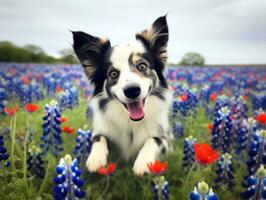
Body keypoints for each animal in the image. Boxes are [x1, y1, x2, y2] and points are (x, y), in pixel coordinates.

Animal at [72, 15, 172, 175]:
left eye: (142, 66)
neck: (131, 122)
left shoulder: (165, 139)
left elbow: (152, 140)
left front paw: (143, 162)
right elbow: (99, 139)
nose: (132, 90)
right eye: (113, 73)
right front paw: (95, 159)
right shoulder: (101, 131)